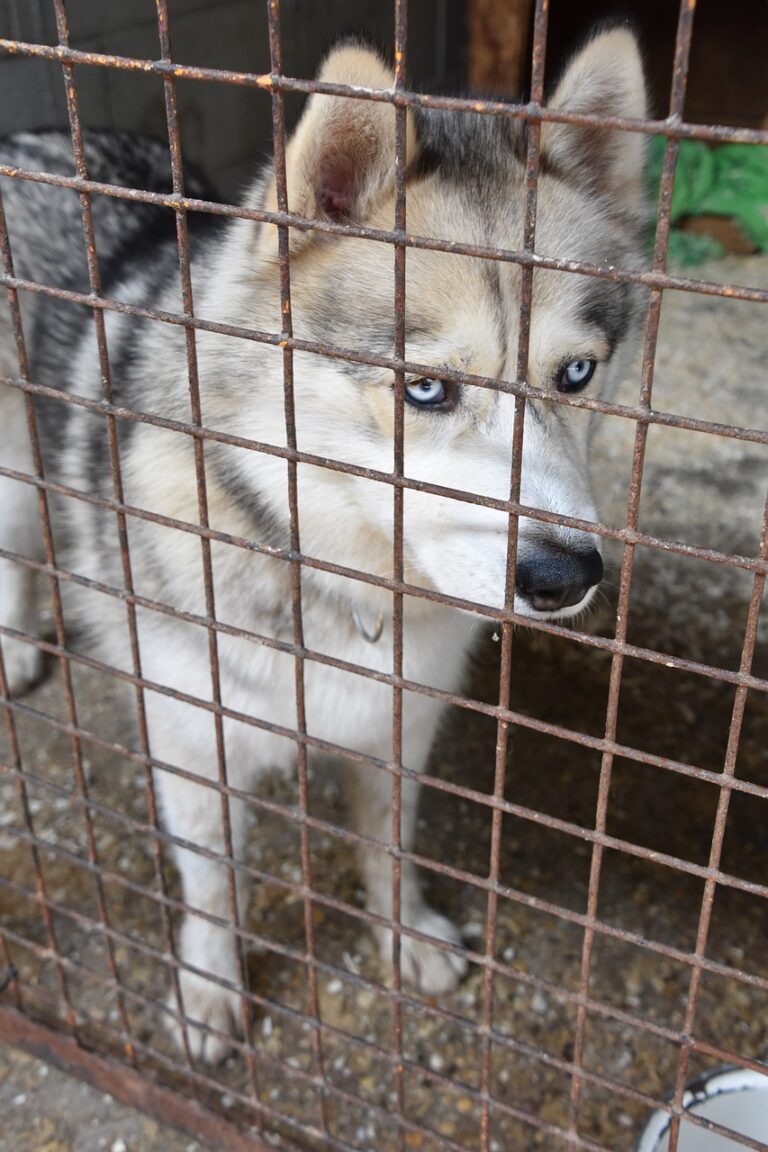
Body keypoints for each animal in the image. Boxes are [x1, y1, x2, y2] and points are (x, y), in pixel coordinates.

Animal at [0, 31, 649, 1059]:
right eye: (425, 389)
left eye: (577, 374)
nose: (565, 575)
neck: (341, 576)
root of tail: (31, 133)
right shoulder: (194, 739)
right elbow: (213, 885)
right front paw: (209, 988)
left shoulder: (399, 730)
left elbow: (389, 846)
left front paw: (404, 935)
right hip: (18, 488)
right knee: (20, 555)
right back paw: (21, 643)